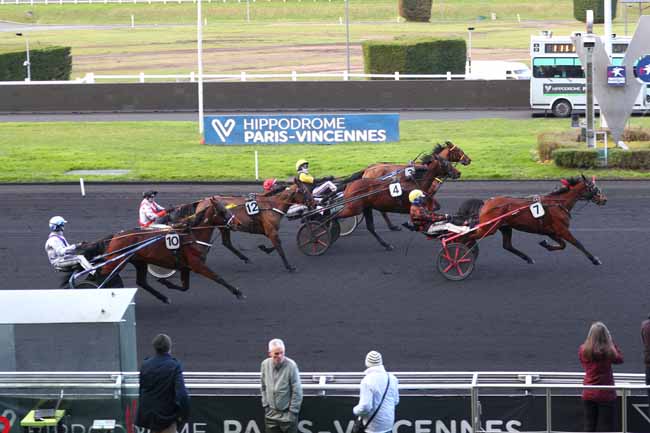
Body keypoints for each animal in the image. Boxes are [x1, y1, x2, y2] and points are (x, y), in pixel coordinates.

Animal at [82, 197, 242, 302]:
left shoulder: (185, 266)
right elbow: (218, 277)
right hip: (117, 261)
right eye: (222, 211)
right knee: (101, 275)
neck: (192, 235)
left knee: (141, 282)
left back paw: (163, 297)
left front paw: (166, 282)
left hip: (139, 261)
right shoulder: (197, 265)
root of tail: (116, 236)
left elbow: (185, 287)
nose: (237, 223)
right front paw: (237, 292)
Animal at [454, 175, 604, 264]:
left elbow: (562, 245)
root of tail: (486, 203)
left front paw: (545, 244)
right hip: (488, 228)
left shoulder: (551, 231)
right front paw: (594, 259)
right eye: (593, 187)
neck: (557, 203)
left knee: (507, 245)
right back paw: (459, 253)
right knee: (466, 236)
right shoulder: (562, 229)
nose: (604, 199)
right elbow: (578, 243)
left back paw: (528, 258)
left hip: (505, 227)